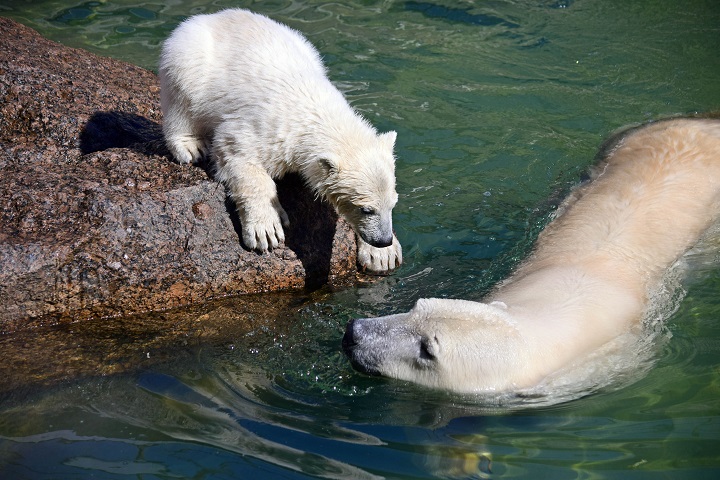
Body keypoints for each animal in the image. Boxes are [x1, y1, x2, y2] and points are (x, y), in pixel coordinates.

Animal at [159, 9, 404, 274]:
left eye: (393, 204)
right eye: (366, 209)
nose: (383, 240)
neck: (314, 109)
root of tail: (215, 15)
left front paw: (384, 255)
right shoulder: (268, 128)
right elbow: (236, 152)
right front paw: (265, 228)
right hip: (189, 56)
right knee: (182, 96)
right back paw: (190, 145)